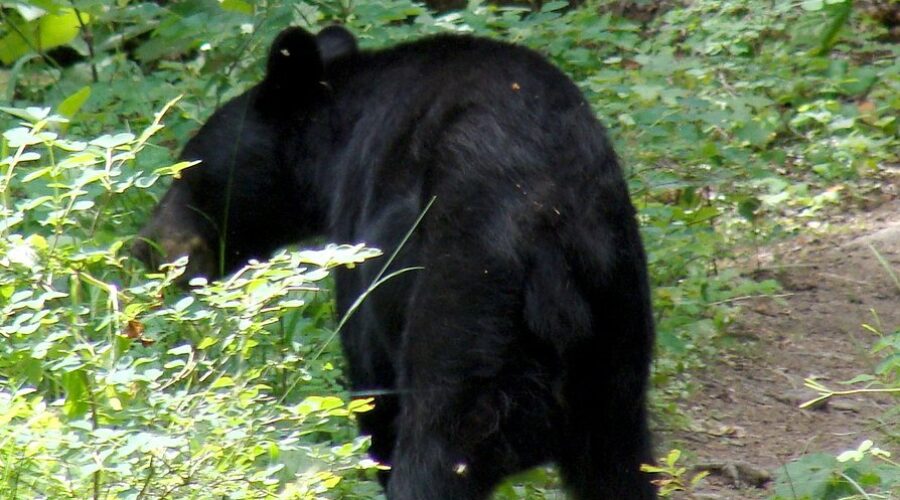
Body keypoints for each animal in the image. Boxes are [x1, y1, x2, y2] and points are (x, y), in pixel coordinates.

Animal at [133, 26, 657, 499]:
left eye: (186, 167)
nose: (144, 246)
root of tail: (547, 233)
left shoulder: (364, 243)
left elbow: (372, 391)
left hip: (464, 314)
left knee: (431, 453)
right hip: (615, 338)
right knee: (622, 468)